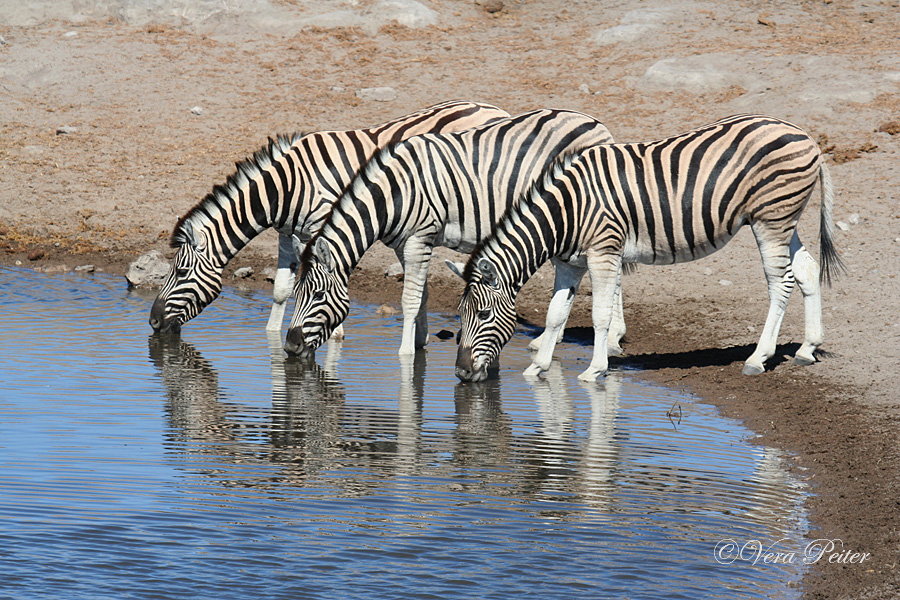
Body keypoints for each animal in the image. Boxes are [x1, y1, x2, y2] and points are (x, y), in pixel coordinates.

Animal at [150, 99, 510, 332]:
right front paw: (271, 338)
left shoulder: (325, 226)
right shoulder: (287, 234)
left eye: (180, 272)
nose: (152, 321)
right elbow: (281, 291)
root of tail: (495, 109)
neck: (288, 186)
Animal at [284, 109, 620, 356]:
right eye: (295, 294)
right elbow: (420, 294)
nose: (290, 346)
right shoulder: (404, 243)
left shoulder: (420, 236)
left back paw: (613, 339)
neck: (393, 193)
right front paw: (419, 341)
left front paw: (406, 354)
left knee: (613, 276)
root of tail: (597, 123)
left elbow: (409, 298)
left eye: (317, 295)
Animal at [458, 113, 844, 380]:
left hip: (770, 220)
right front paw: (537, 367)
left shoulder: (604, 252)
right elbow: (555, 316)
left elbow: (600, 315)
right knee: (806, 270)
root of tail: (806, 136)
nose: (461, 372)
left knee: (781, 282)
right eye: (461, 314)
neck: (567, 212)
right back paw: (807, 348)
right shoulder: (571, 263)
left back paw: (757, 358)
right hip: (784, 220)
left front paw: (595, 370)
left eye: (484, 314)